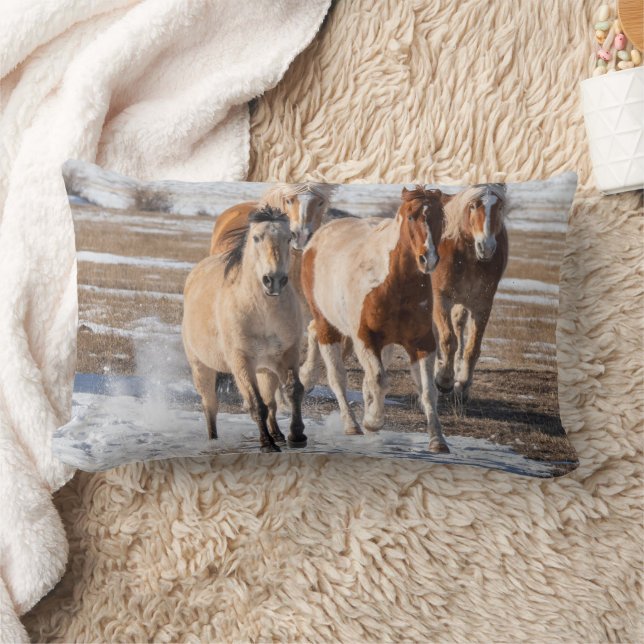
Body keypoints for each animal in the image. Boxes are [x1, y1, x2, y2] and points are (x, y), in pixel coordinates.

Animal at [182, 206, 307, 452]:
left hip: (265, 370)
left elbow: (293, 390)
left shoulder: (288, 354)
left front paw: (297, 436)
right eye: (256, 238)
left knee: (271, 402)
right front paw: (267, 444)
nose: (274, 280)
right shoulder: (241, 361)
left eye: (288, 238)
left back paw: (278, 434)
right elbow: (256, 404)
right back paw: (214, 439)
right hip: (201, 367)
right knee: (210, 405)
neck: (264, 313)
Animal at [301, 186, 450, 453]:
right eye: (411, 216)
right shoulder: (365, 338)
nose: (428, 259)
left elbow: (427, 390)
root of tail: (318, 237)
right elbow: (379, 380)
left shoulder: (422, 343)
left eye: (440, 218)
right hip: (328, 326)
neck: (394, 284)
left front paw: (437, 440)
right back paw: (351, 424)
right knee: (336, 376)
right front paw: (372, 421)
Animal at [431, 183, 508, 399]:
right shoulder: (440, 299)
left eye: (499, 207)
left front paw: (463, 384)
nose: (486, 247)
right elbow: (448, 339)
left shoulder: (482, 304)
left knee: (459, 327)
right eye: (473, 206)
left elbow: (472, 347)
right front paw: (444, 381)